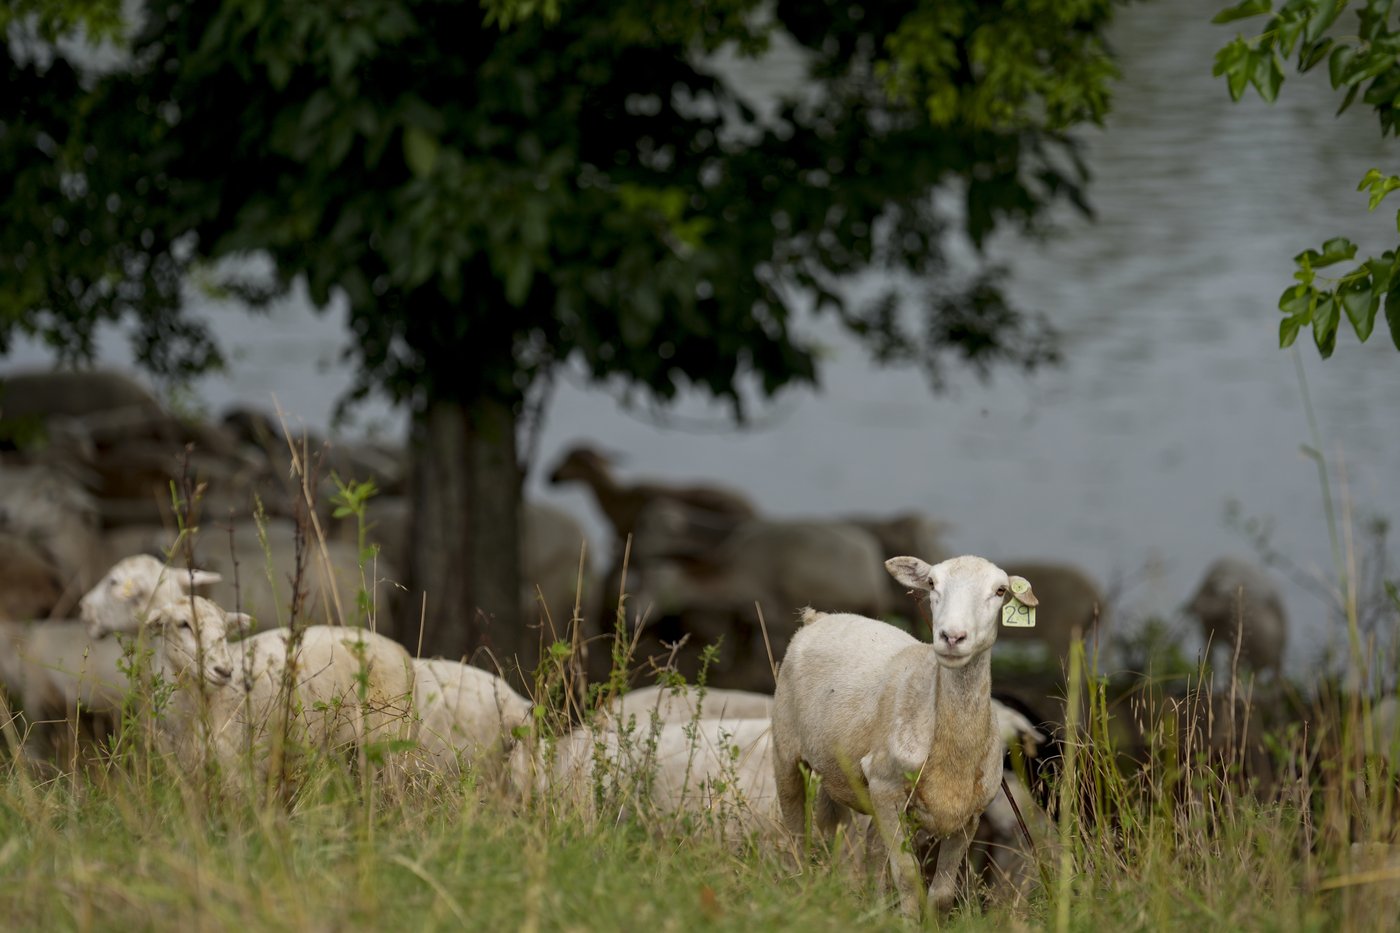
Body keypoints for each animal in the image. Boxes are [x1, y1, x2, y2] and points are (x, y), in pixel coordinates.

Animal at [771, 555, 1036, 918]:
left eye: (1000, 591)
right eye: (932, 584)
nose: (952, 636)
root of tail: (819, 618)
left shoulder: (968, 817)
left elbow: (942, 893)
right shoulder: (887, 788)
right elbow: (908, 875)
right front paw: (908, 921)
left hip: (842, 774)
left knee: (846, 837)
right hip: (786, 749)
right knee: (796, 833)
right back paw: (798, 887)